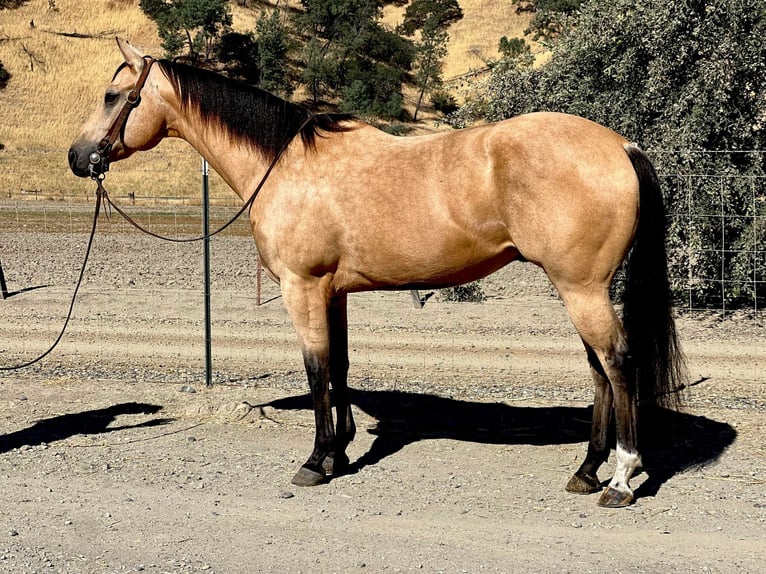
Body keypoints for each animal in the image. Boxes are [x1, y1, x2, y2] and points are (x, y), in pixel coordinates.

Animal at [69, 39, 688, 508]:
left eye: (112, 95)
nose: (78, 157)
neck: (287, 164)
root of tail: (620, 144)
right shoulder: (333, 292)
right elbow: (340, 365)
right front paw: (340, 450)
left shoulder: (301, 289)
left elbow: (316, 368)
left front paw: (316, 461)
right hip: (580, 289)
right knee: (600, 371)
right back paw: (586, 471)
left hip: (581, 289)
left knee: (618, 363)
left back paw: (620, 479)